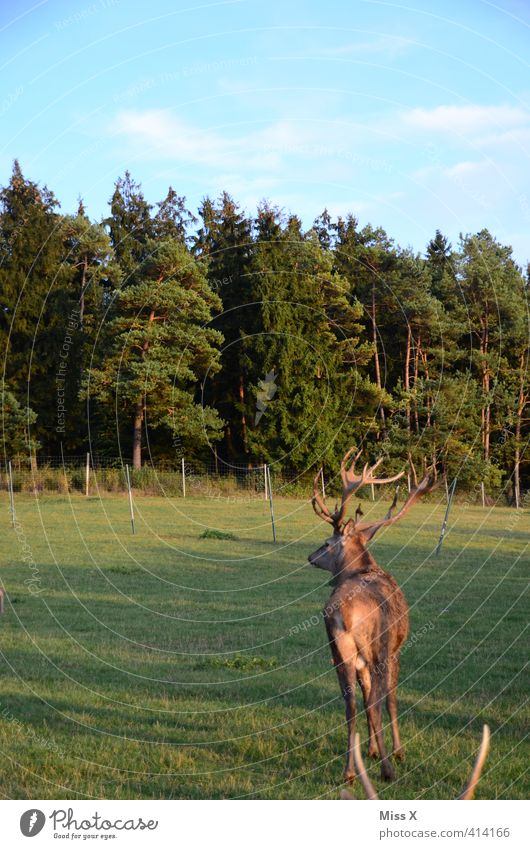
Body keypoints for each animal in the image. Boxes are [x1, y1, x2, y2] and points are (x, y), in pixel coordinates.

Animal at [308, 448, 436, 784]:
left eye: (326, 543)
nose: (310, 556)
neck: (364, 567)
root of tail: (343, 612)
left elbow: (365, 699)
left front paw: (374, 750)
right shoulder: (395, 648)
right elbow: (389, 699)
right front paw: (395, 751)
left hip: (338, 648)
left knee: (351, 702)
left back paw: (350, 771)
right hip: (377, 644)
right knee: (378, 700)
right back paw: (388, 769)